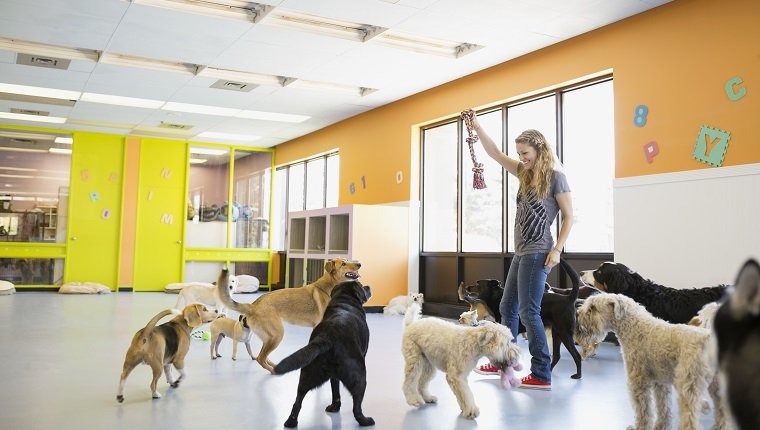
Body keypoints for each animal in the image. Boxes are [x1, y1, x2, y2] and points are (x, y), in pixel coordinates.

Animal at [215, 258, 360, 372]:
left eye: (348, 260)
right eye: (343, 263)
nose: (359, 264)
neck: (329, 287)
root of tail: (253, 305)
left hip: (269, 338)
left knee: (263, 356)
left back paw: (274, 365)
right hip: (277, 335)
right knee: (261, 358)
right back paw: (274, 371)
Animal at [576, 296, 732, 430]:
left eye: (593, 307)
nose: (577, 315)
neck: (634, 327)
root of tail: (709, 339)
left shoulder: (638, 381)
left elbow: (643, 409)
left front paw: (640, 427)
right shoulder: (660, 383)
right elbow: (663, 408)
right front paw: (660, 426)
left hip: (687, 388)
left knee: (690, 420)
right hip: (717, 389)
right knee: (723, 415)